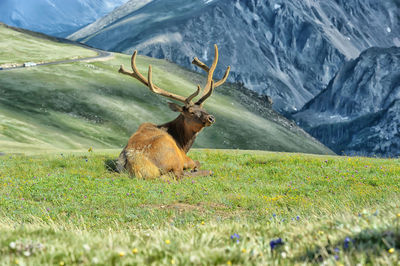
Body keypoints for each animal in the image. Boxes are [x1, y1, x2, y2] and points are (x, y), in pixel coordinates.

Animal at [115, 44, 230, 180]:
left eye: (204, 109)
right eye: (191, 112)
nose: (211, 118)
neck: (183, 144)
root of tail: (135, 165)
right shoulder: (184, 158)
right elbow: (197, 163)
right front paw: (197, 168)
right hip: (172, 157)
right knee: (179, 175)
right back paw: (206, 172)